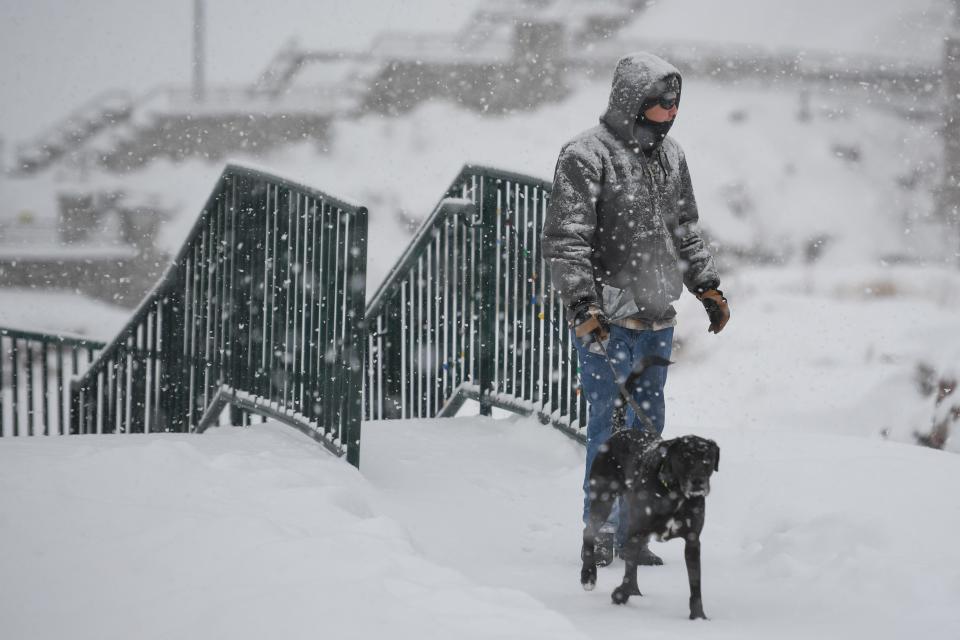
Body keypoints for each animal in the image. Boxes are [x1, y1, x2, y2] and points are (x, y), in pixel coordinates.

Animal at [576, 428, 720, 616]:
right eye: (684, 457)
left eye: (707, 459)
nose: (698, 481)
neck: (674, 493)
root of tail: (620, 430)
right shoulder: (637, 532)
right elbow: (630, 572)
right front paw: (622, 595)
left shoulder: (692, 541)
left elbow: (695, 582)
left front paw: (698, 616)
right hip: (603, 499)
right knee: (589, 532)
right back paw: (588, 575)